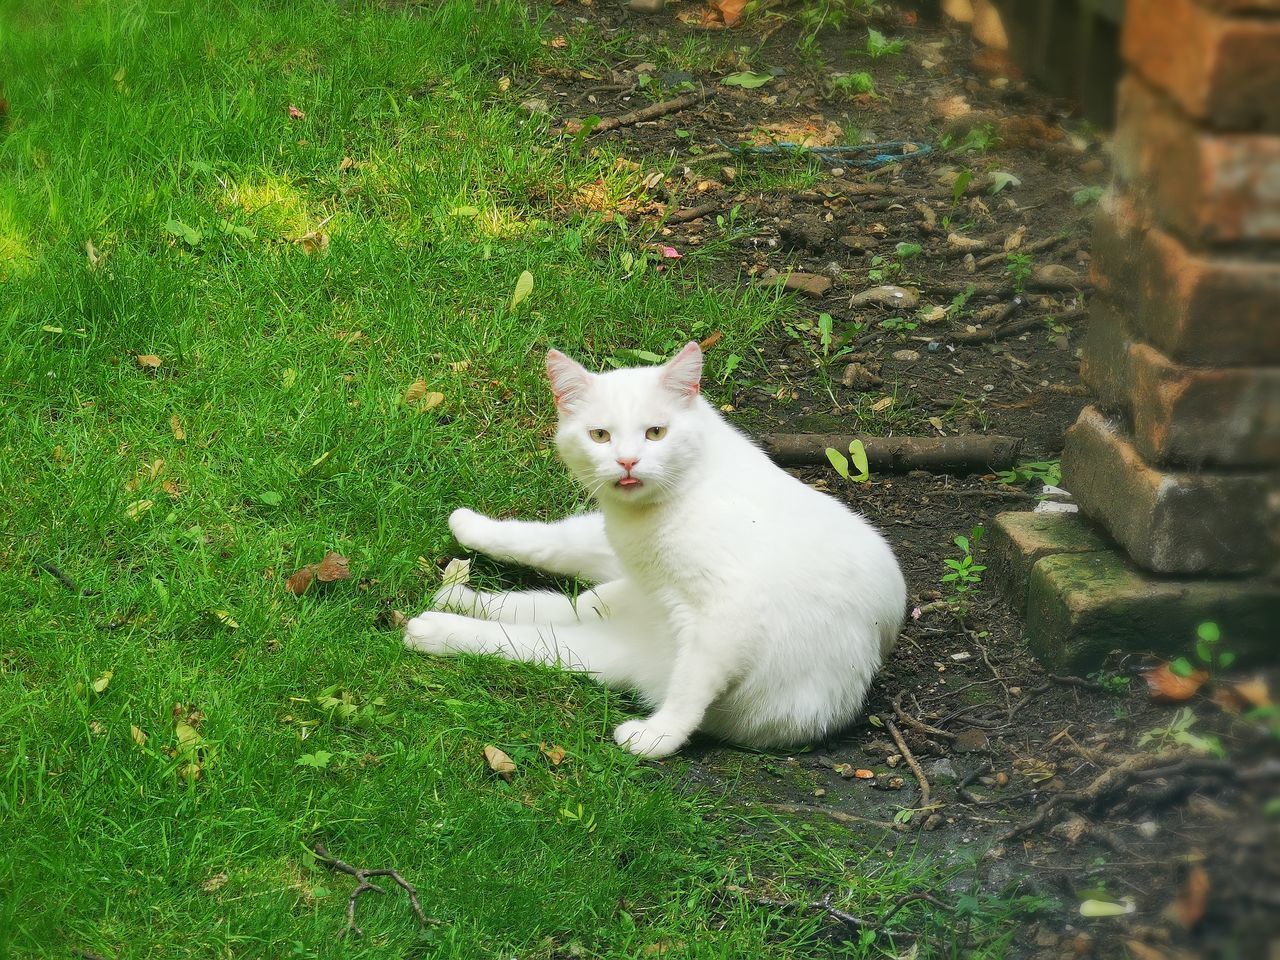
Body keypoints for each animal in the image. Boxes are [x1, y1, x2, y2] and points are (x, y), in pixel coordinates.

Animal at [404, 343, 906, 757]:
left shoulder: (729, 613)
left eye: (656, 433)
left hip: (605, 647)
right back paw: (455, 590)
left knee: (529, 637)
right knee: (547, 598)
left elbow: (692, 686)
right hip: (608, 600)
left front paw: (658, 738)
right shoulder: (617, 549)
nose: (628, 461)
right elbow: (552, 543)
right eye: (600, 436)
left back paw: (435, 625)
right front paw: (472, 527)